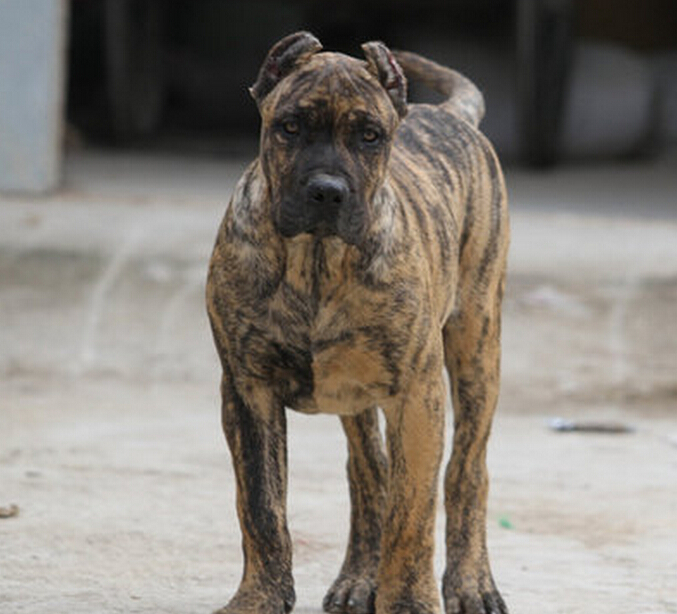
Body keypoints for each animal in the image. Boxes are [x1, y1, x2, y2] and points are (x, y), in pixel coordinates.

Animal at [206, 32, 508, 614]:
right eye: (290, 126)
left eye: (370, 137)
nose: (327, 191)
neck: (316, 262)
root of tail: (447, 114)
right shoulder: (247, 389)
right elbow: (261, 507)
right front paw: (260, 597)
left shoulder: (418, 395)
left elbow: (412, 512)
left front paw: (409, 601)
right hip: (359, 396)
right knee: (369, 472)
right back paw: (358, 579)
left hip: (477, 344)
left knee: (467, 472)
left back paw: (471, 583)